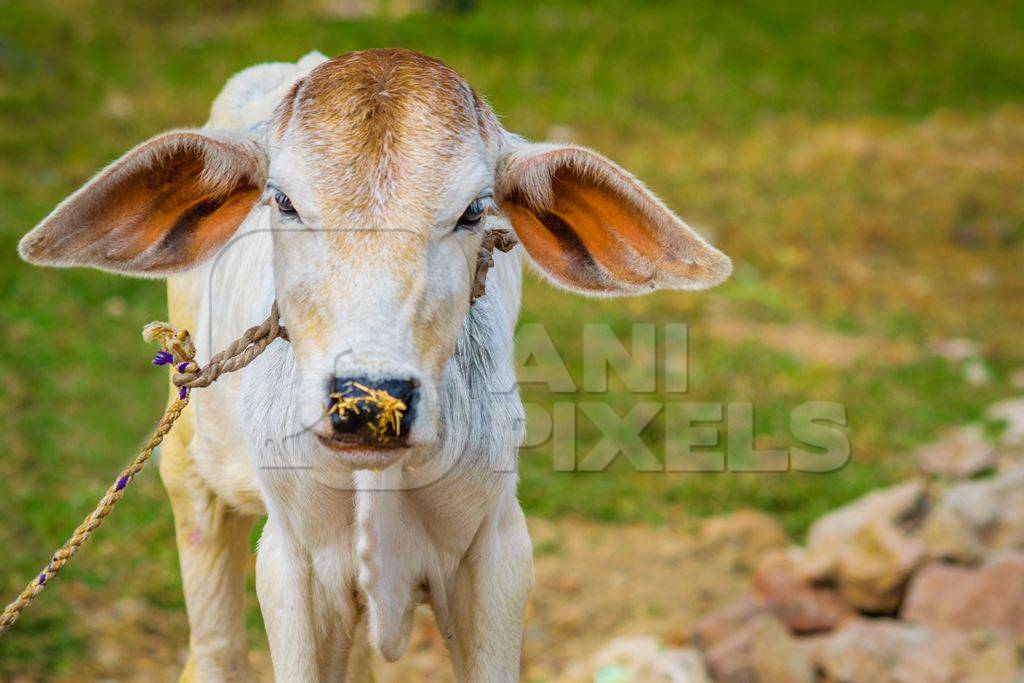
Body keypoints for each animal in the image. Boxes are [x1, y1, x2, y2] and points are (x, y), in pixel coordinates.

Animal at [19, 50, 733, 679]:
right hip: (189, 472)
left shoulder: (498, 555)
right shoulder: (291, 565)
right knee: (214, 654)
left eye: (474, 210)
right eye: (282, 201)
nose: (365, 400)